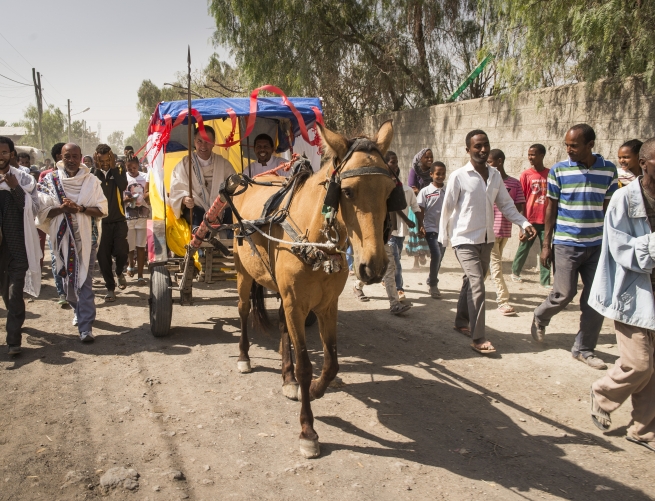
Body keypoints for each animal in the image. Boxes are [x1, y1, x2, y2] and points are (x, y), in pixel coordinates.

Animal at [231, 120, 394, 458]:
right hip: (243, 273)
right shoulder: (297, 303)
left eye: (389, 191)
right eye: (347, 191)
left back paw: (287, 376)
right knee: (243, 311)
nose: (373, 267)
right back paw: (244, 357)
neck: (315, 240)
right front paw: (308, 430)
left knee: (282, 326)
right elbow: (307, 365)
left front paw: (316, 389)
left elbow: (331, 363)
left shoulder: (326, 305)